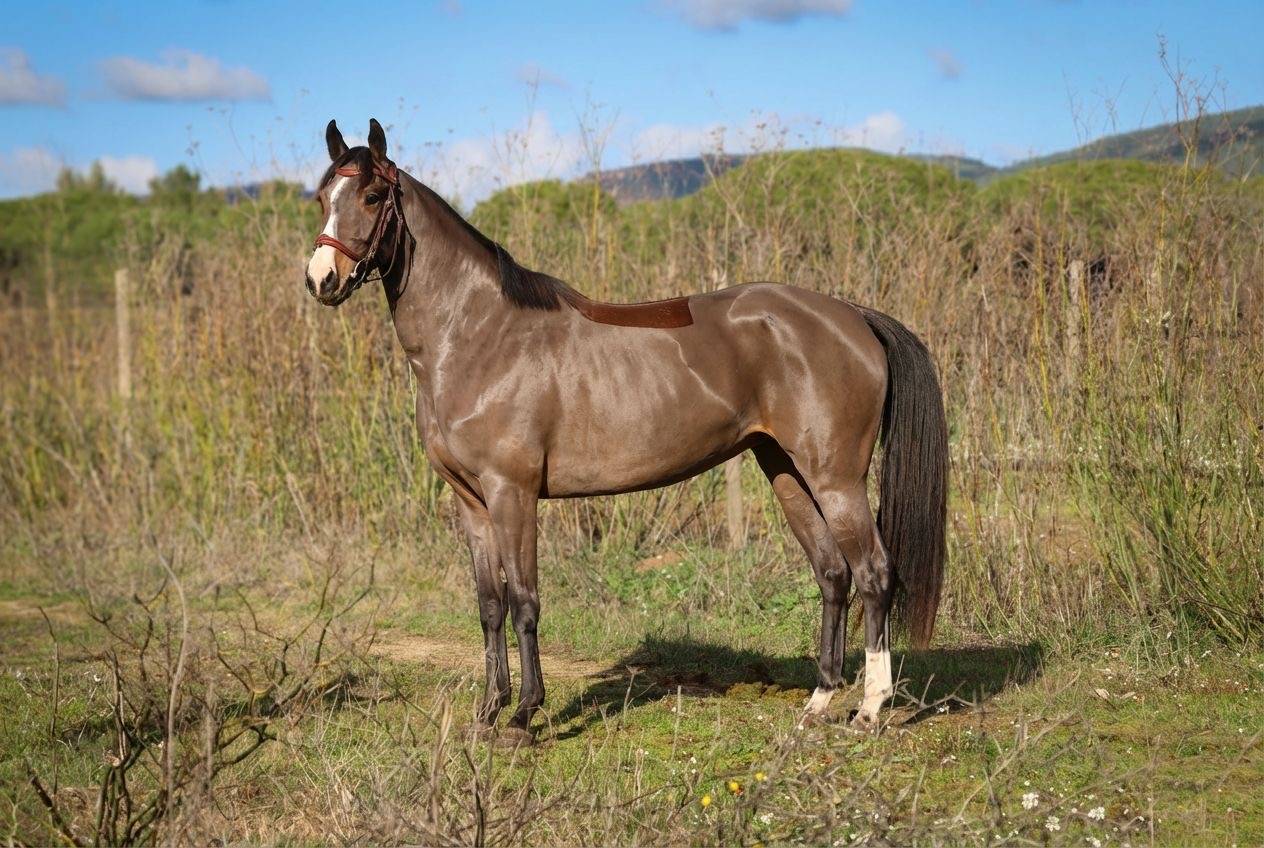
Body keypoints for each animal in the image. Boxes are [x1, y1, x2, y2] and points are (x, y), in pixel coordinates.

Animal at [304, 119, 948, 746]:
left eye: (371, 195)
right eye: (321, 197)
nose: (321, 279)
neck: (479, 336)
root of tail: (853, 316)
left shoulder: (513, 494)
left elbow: (524, 602)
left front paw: (523, 718)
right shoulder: (471, 501)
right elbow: (489, 605)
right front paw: (488, 713)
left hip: (836, 478)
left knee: (874, 574)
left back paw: (870, 709)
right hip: (786, 471)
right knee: (833, 574)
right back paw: (818, 705)